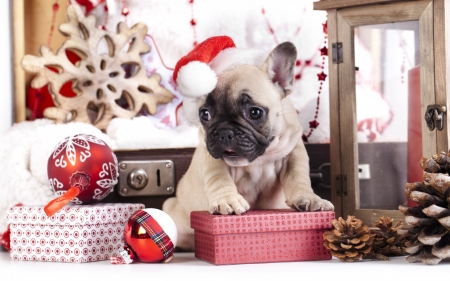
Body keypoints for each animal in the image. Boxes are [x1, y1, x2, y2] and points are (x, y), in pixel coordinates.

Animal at [163, 40, 334, 248]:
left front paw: (309, 198)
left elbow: (298, 177)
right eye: (204, 114)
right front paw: (227, 200)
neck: (259, 159)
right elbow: (219, 179)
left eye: (255, 112)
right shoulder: (211, 157)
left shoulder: (294, 152)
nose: (224, 132)